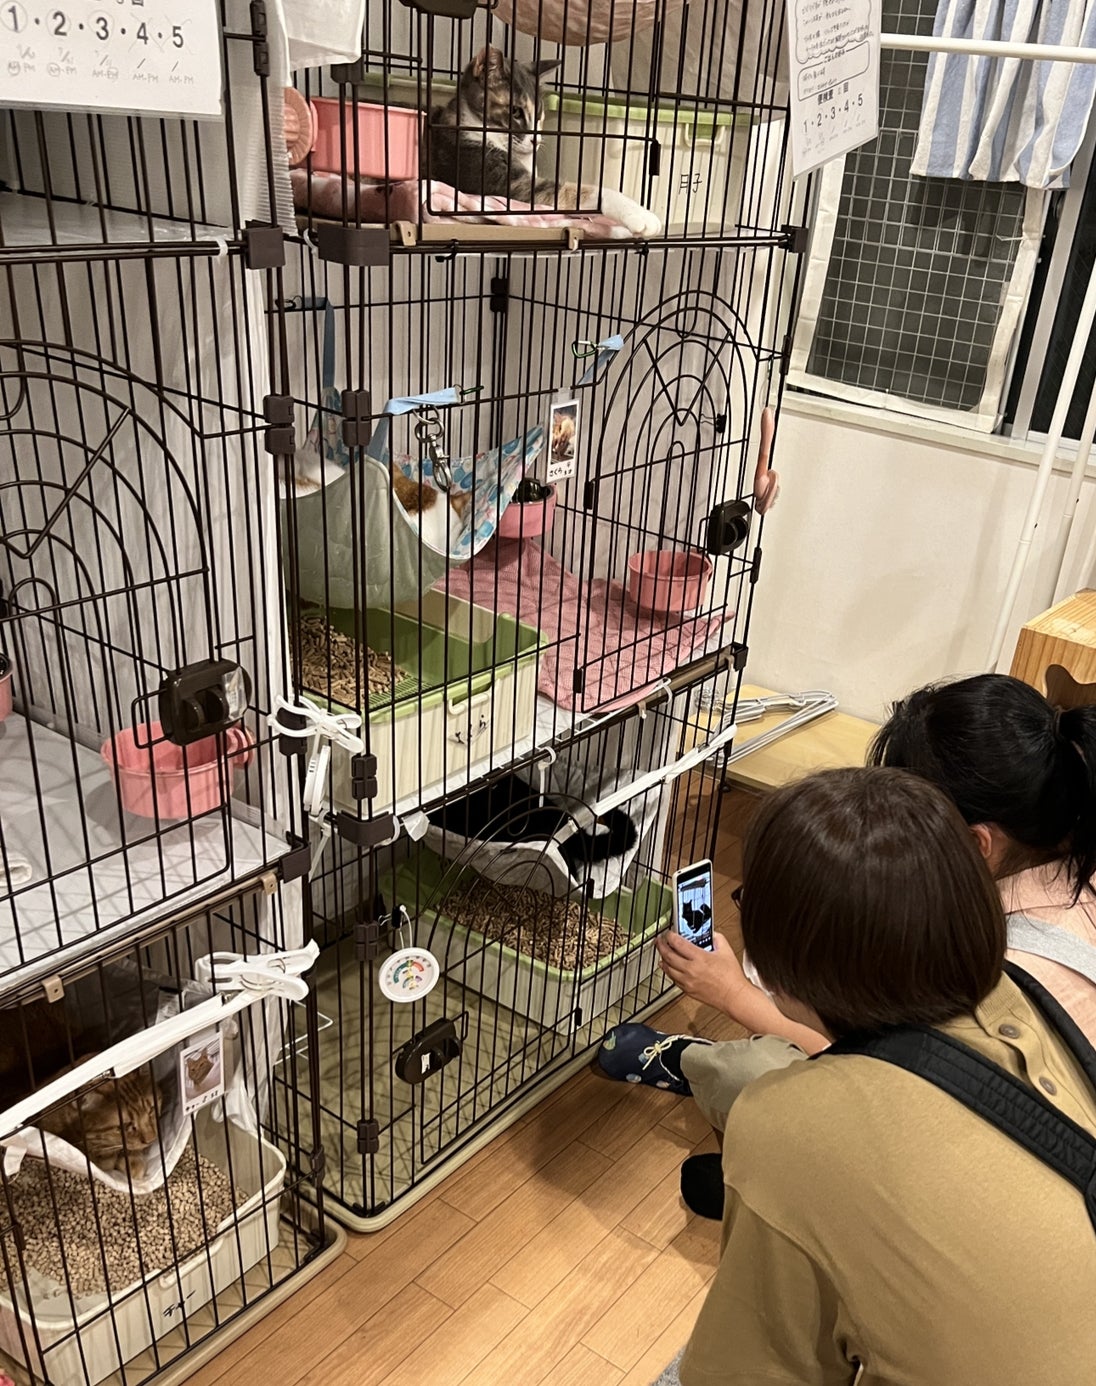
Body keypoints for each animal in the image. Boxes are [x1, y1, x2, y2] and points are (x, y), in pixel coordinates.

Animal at [427, 47, 661, 239]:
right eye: (515, 112)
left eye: (539, 114)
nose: (536, 140)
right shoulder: (503, 180)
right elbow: (579, 191)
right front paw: (643, 216)